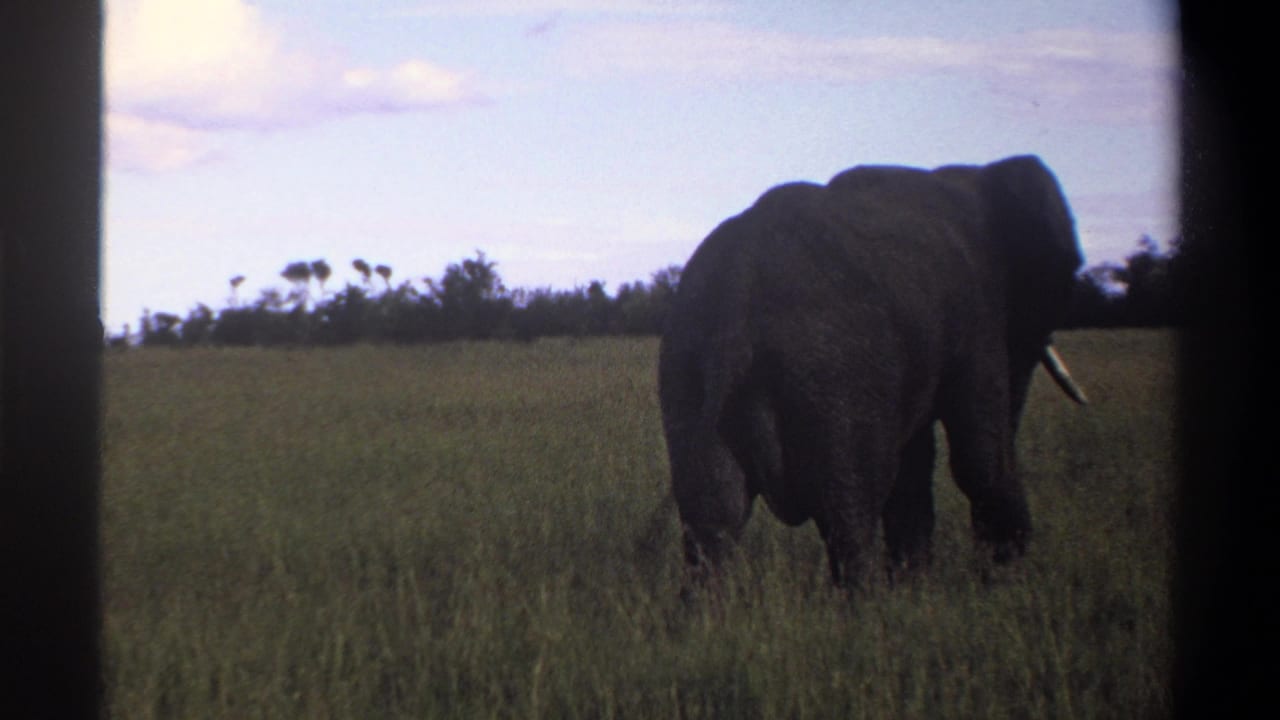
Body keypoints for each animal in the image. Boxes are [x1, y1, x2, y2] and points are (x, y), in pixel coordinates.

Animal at [657, 155, 1087, 588]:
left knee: (713, 521)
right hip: (833, 378)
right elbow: (978, 456)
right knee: (849, 513)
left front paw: (917, 588)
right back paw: (868, 601)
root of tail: (737, 296)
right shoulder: (977, 319)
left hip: (686, 371)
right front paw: (1000, 583)